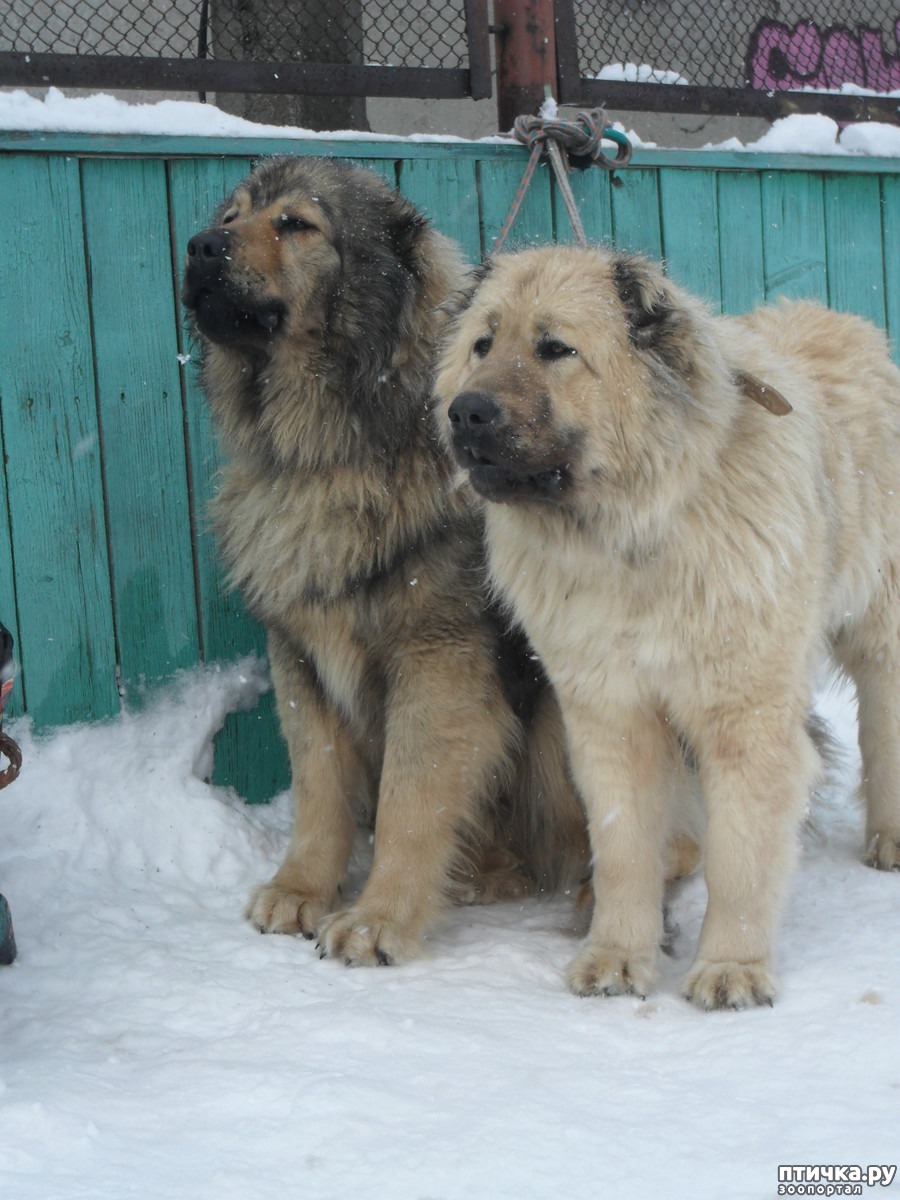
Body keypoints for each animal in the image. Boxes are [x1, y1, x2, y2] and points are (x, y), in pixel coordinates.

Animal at [436, 246, 900, 1012]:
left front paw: (732, 967)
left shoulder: (743, 714)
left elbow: (741, 857)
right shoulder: (610, 714)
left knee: (884, 725)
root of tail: (847, 324)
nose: (465, 411)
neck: (637, 530)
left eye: (555, 349)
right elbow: (623, 846)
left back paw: (890, 836)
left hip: (880, 627)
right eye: (482, 344)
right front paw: (619, 955)